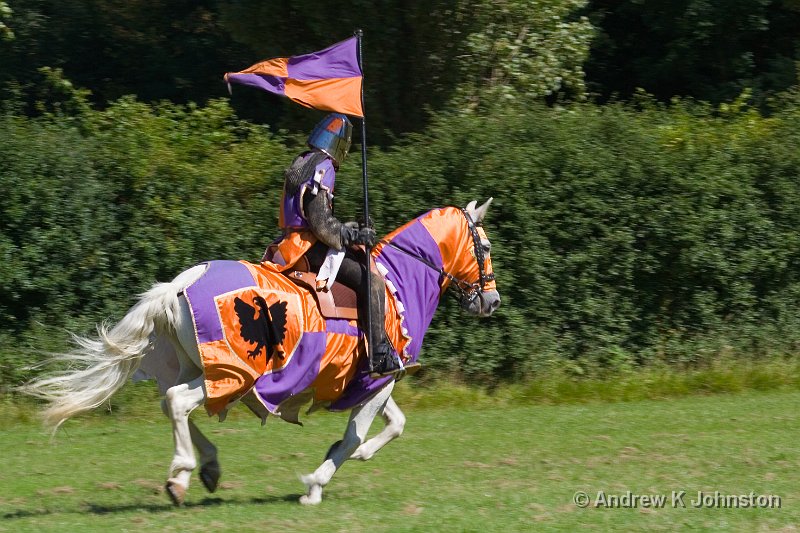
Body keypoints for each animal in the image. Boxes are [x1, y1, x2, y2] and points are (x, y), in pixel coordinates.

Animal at [21, 198, 500, 502]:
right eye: (486, 246)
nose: (491, 301)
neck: (400, 281)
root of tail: (181, 283)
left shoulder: (373, 382)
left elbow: (394, 424)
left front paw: (351, 458)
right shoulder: (382, 377)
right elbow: (356, 435)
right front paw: (315, 483)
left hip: (200, 368)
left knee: (171, 404)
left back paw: (204, 469)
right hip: (231, 372)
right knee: (177, 402)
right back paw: (182, 471)